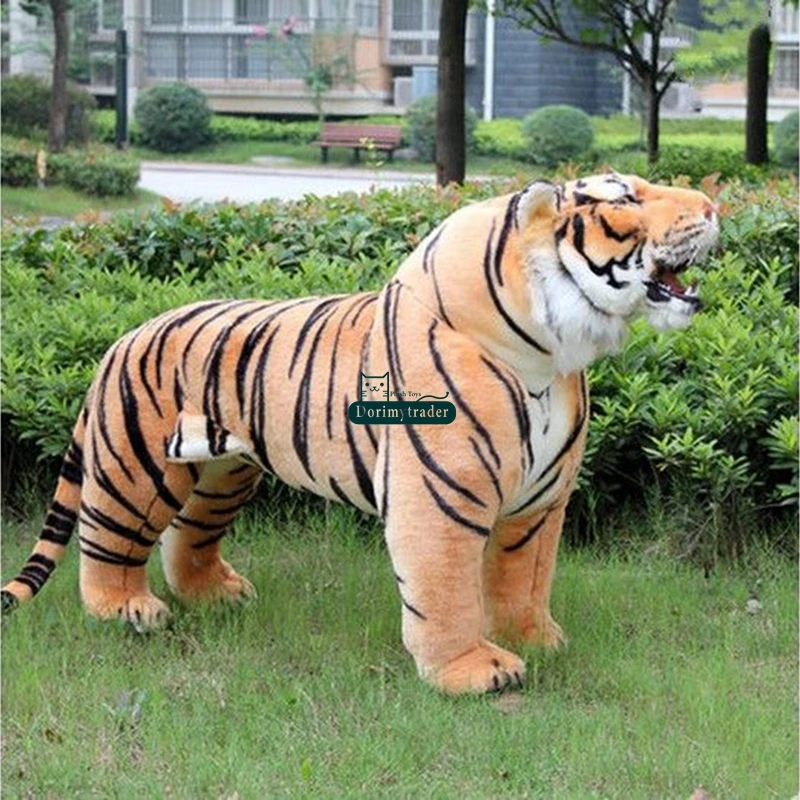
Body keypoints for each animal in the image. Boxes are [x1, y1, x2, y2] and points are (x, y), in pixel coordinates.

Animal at [2, 173, 718, 694]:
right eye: (625, 197)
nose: (715, 206)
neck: (550, 353)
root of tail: (121, 337)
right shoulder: (441, 495)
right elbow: (446, 589)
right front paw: (473, 671)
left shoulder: (541, 501)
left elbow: (523, 578)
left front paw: (535, 641)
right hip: (135, 471)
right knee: (108, 543)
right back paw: (126, 610)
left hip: (224, 473)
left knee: (188, 538)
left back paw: (220, 596)